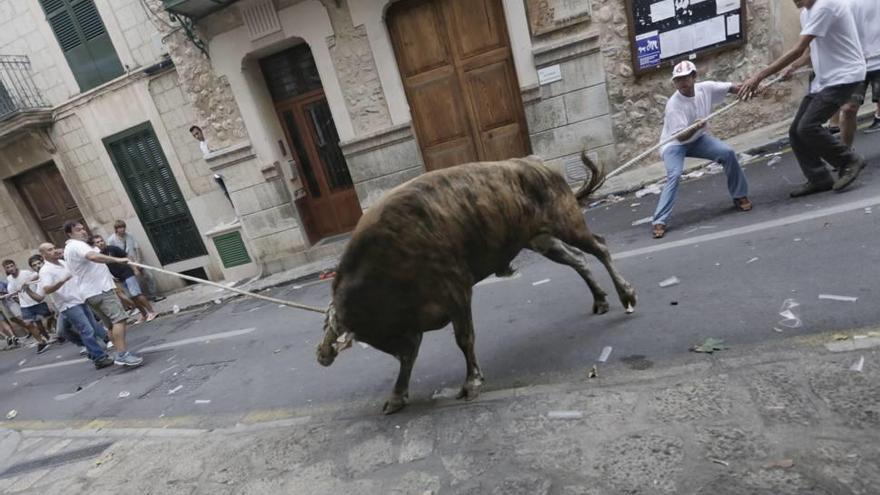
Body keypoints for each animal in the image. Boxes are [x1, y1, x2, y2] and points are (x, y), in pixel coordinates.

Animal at [320, 154, 636, 414]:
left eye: (374, 332)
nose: (323, 357)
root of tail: (538, 165)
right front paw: (396, 398)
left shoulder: (457, 290)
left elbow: (464, 338)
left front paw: (471, 383)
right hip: (541, 240)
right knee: (579, 259)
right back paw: (600, 300)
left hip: (568, 223)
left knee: (600, 247)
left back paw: (627, 296)